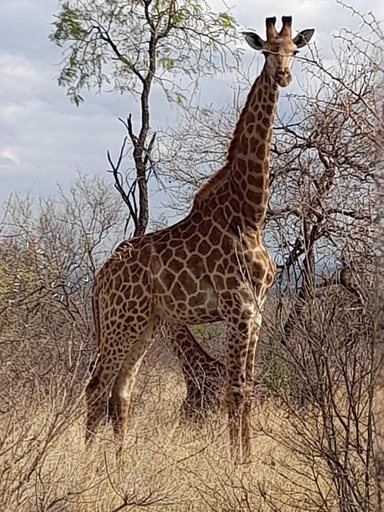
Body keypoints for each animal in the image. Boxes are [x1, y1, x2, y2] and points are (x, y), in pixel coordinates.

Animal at [87, 17, 316, 464]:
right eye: (267, 51)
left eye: (295, 51)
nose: (283, 75)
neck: (250, 213)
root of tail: (99, 280)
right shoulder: (238, 309)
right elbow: (234, 390)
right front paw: (236, 464)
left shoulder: (256, 312)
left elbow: (247, 389)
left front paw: (247, 460)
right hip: (122, 320)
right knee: (96, 388)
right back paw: (87, 466)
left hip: (146, 323)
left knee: (120, 391)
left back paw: (120, 468)